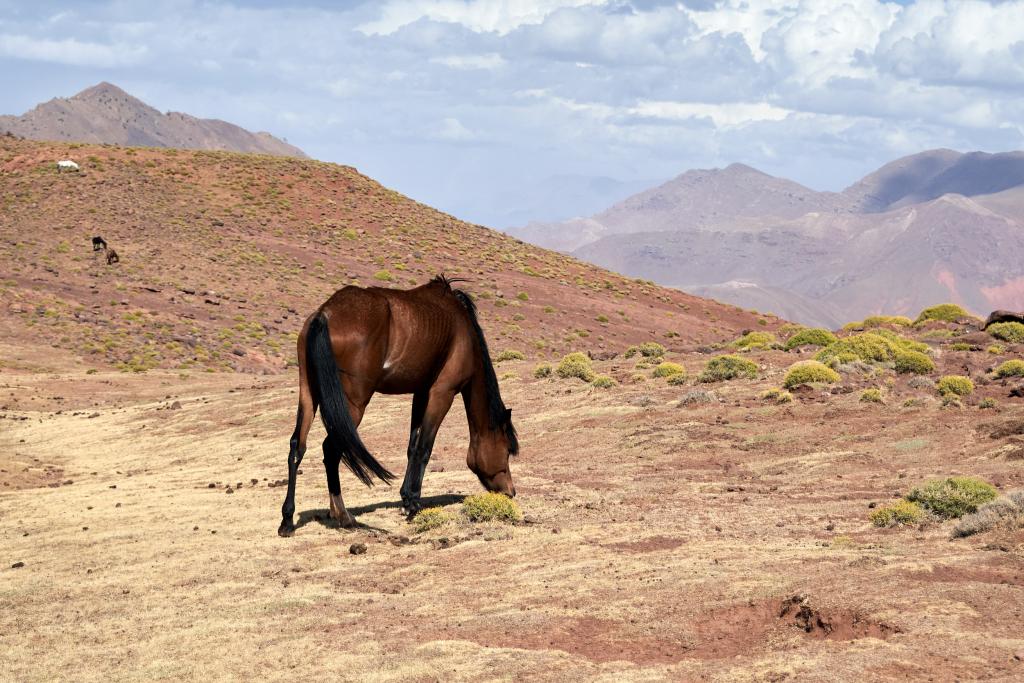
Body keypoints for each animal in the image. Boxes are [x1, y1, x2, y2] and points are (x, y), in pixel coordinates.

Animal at [278, 274, 520, 536]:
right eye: (507, 450)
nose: (510, 492)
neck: (462, 331)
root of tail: (326, 313)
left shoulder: (421, 392)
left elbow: (412, 447)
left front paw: (405, 498)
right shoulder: (442, 393)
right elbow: (424, 448)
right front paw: (413, 503)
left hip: (308, 394)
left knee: (297, 446)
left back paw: (288, 520)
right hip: (353, 404)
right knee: (331, 450)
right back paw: (344, 516)